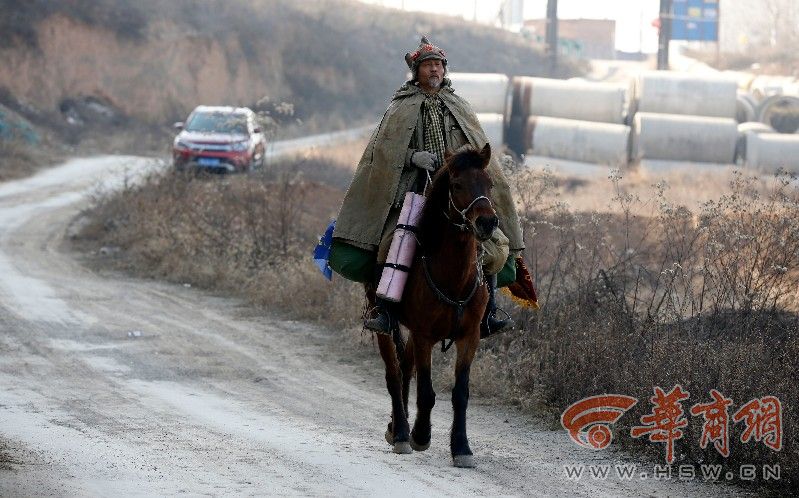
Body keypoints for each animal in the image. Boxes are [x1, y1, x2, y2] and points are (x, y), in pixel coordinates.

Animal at [372, 143, 496, 466]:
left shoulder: (469, 336)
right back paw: (402, 434)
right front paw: (420, 435)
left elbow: (461, 393)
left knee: (406, 367)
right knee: (394, 373)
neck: (454, 278)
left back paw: (395, 426)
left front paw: (462, 448)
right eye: (457, 185)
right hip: (383, 323)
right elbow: (426, 392)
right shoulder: (424, 334)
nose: (487, 223)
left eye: (490, 184)